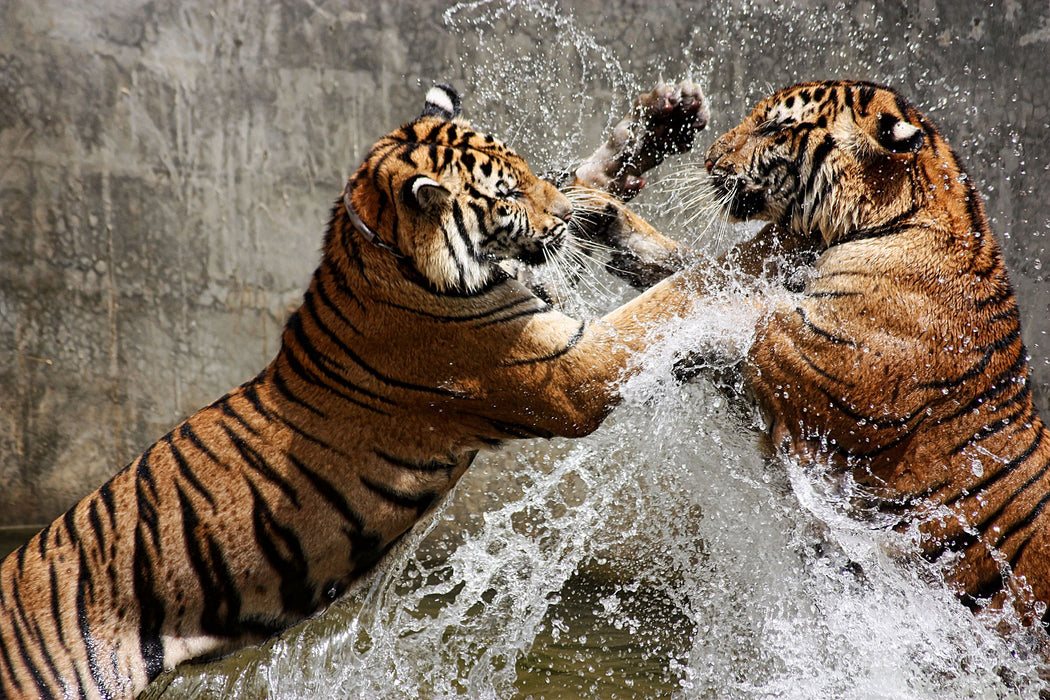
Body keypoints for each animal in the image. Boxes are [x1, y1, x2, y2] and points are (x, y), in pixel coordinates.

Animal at [0, 83, 705, 700]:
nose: (557, 216)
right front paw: (727, 267)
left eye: (527, 169)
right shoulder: (566, 371)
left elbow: (586, 190)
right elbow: (667, 299)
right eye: (506, 195)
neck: (379, 245)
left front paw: (662, 122)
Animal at [583, 80, 1050, 629]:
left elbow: (728, 305)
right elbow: (698, 271)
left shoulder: (823, 367)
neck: (890, 219)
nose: (709, 159)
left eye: (773, 126)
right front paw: (601, 213)